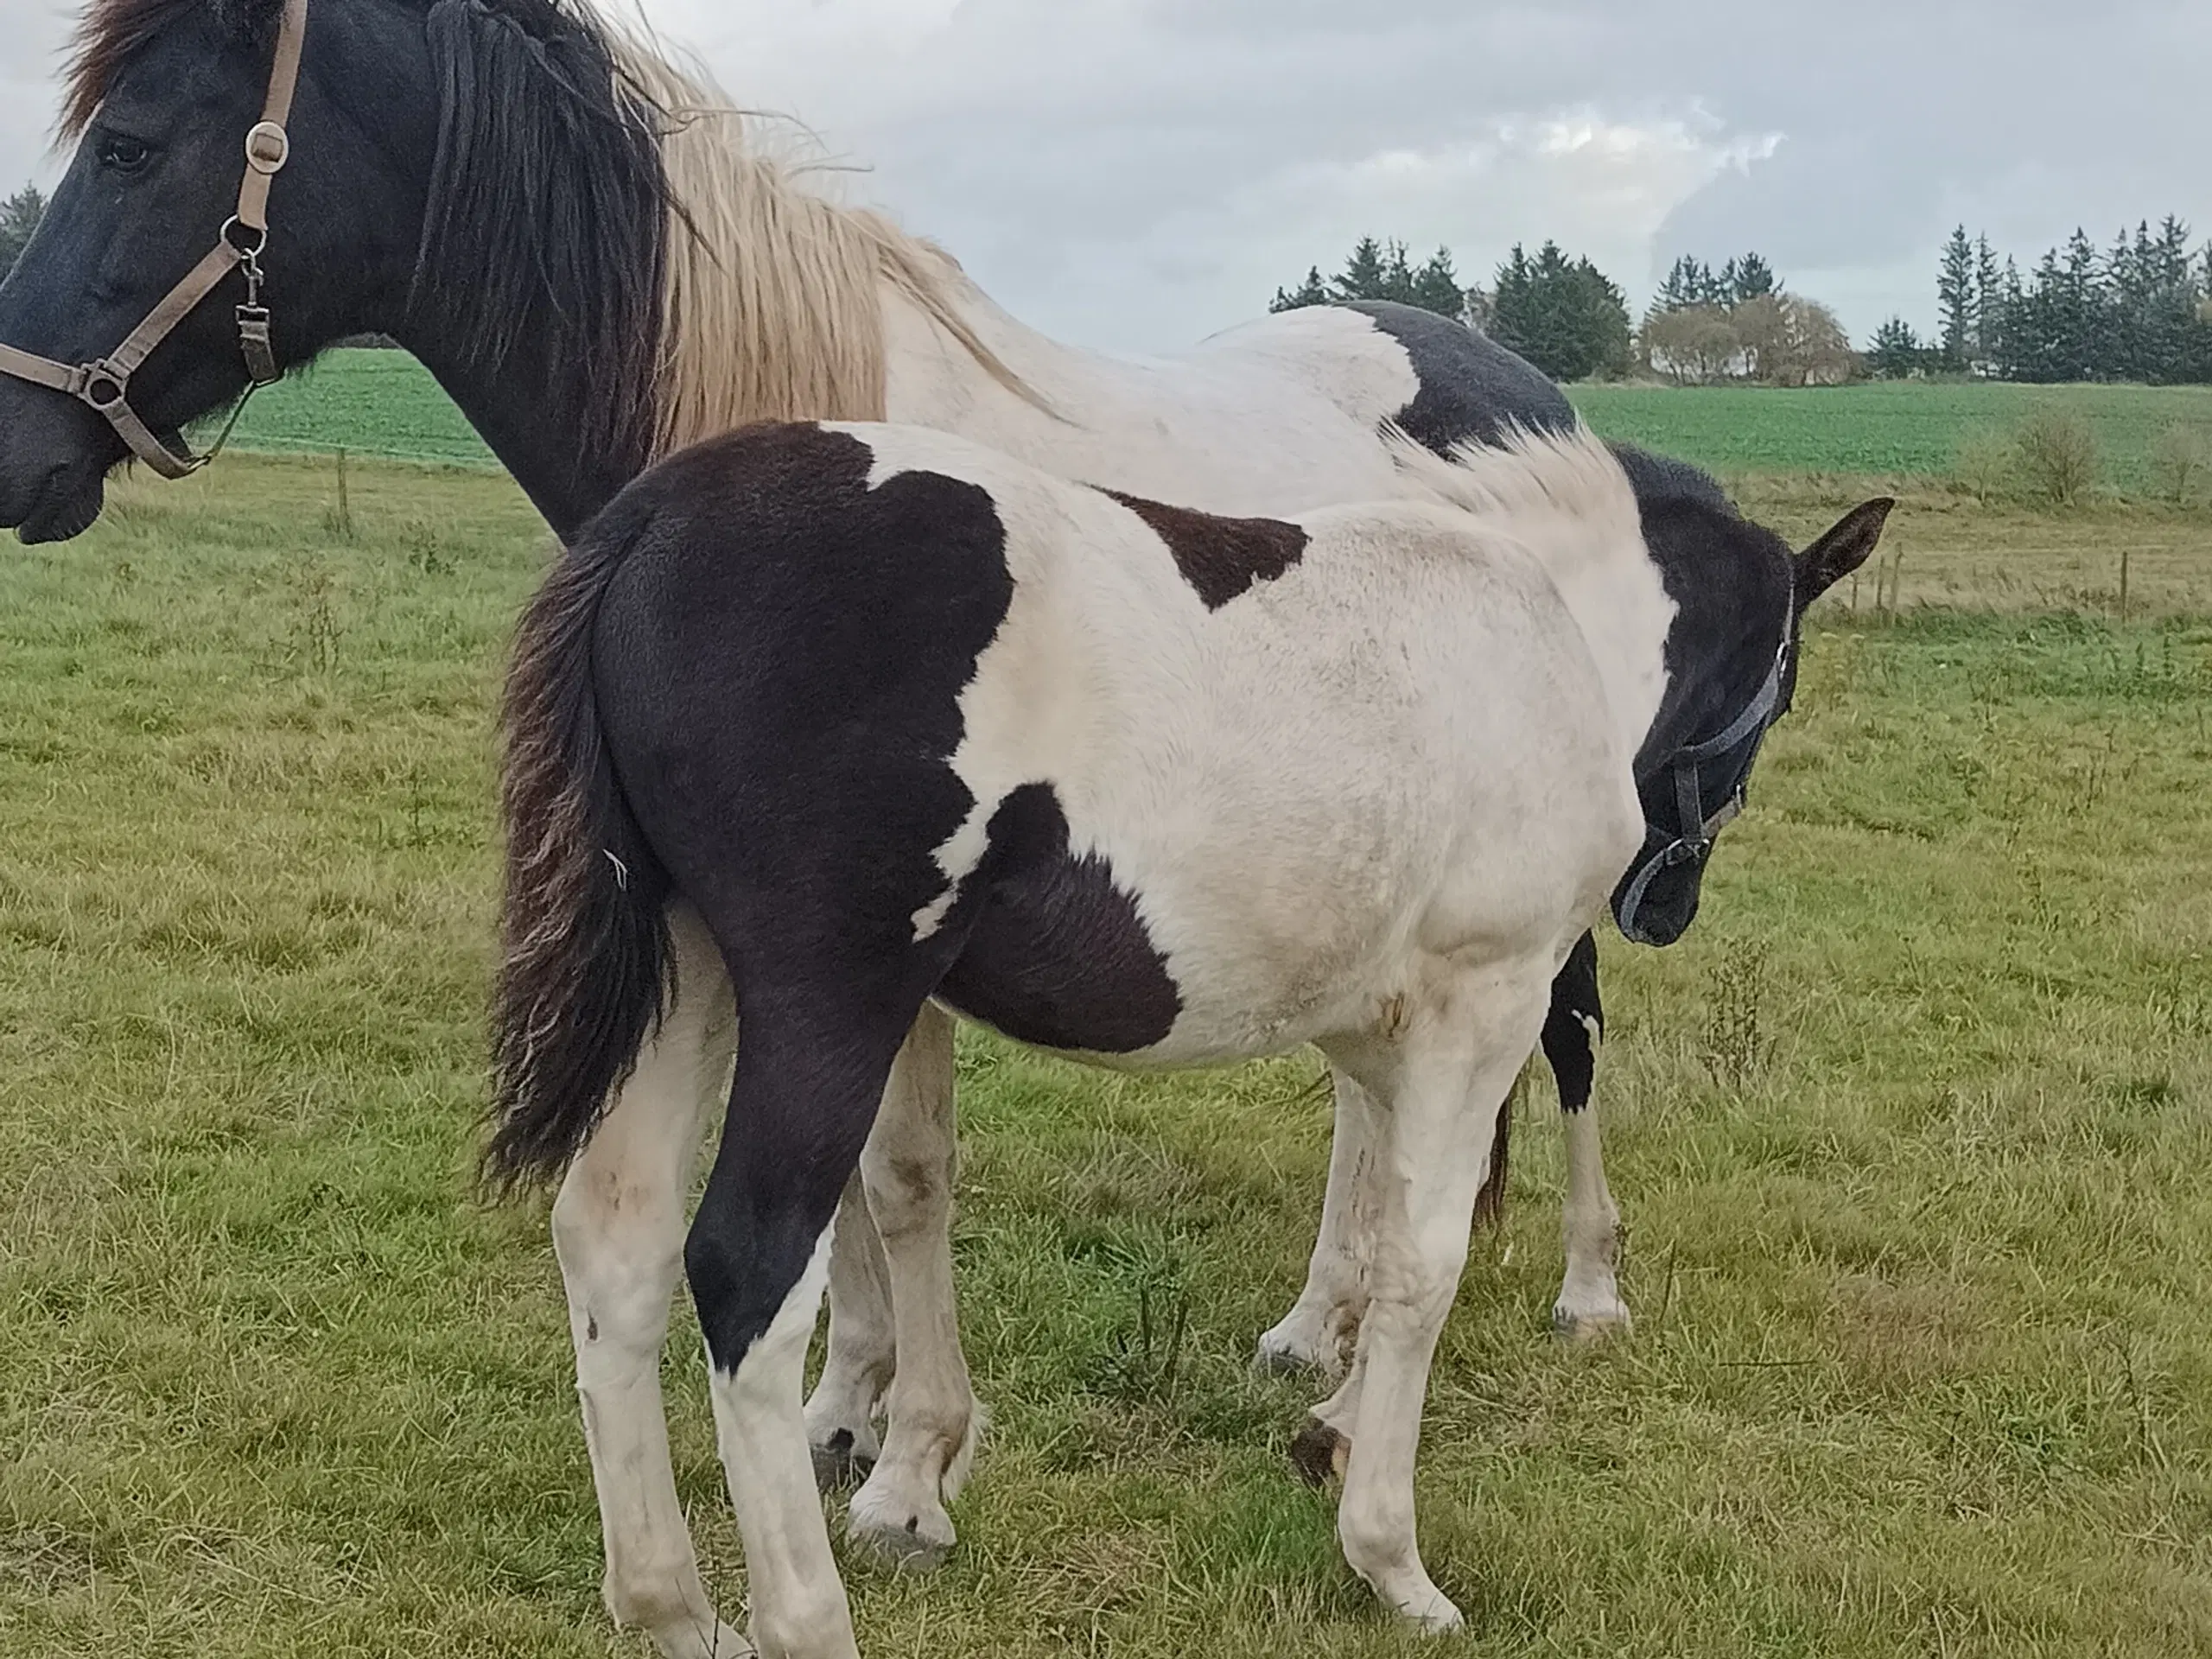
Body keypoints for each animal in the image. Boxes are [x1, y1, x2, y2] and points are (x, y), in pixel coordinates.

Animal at [498, 417, 1885, 1654]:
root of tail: (654, 520)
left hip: (692, 982)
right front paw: (1391, 1559)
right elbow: (1424, 1255)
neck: (1540, 631)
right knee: (747, 1272)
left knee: (612, 1246)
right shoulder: (1487, 996)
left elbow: (1373, 1222)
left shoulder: (1378, 1021)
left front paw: (1328, 1413)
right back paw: (805, 1617)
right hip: (828, 1002)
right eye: (1781, 682)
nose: (1666, 903)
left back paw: (675, 1611)